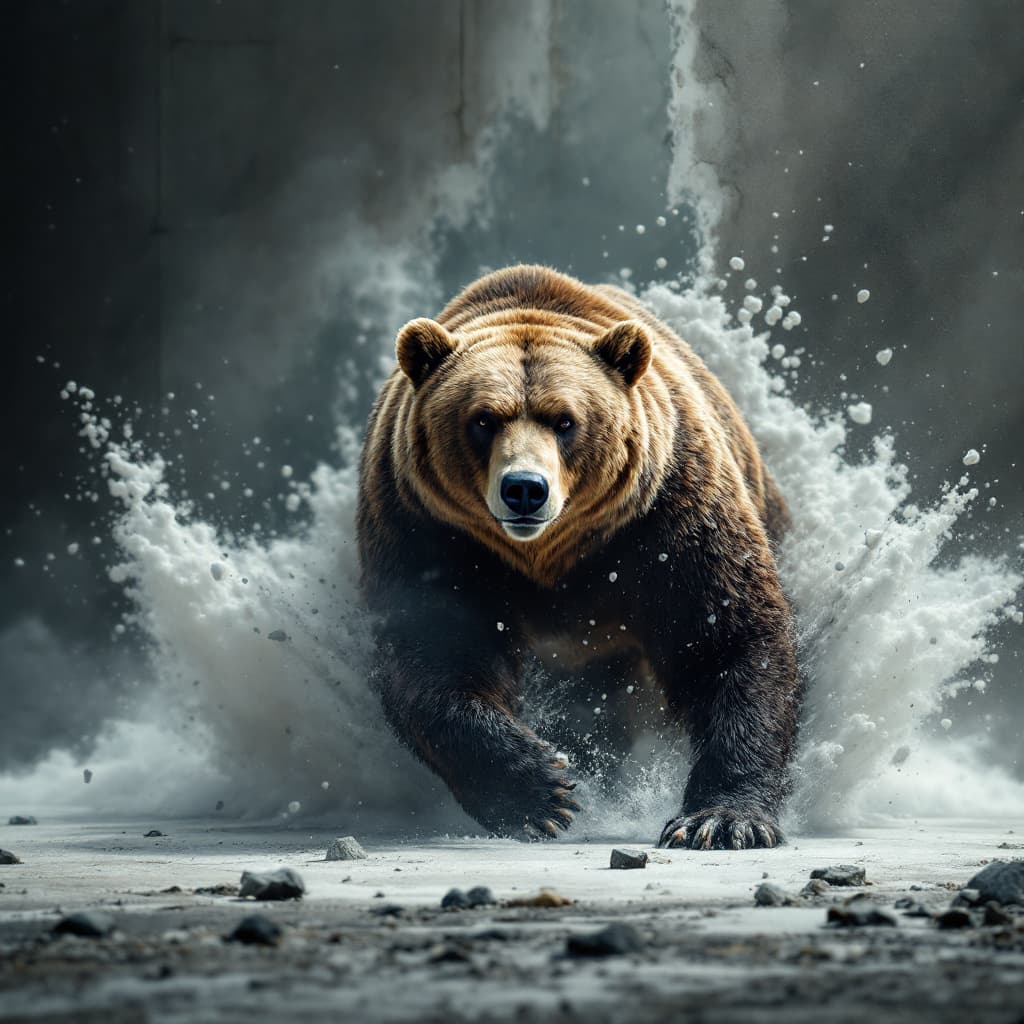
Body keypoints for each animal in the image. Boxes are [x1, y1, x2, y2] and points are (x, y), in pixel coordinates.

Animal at [356, 264, 800, 849]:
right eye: (483, 420)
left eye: (564, 420)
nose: (525, 488)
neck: (547, 556)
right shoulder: (429, 531)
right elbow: (435, 650)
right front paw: (541, 792)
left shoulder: (665, 517)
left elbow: (724, 635)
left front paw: (721, 820)